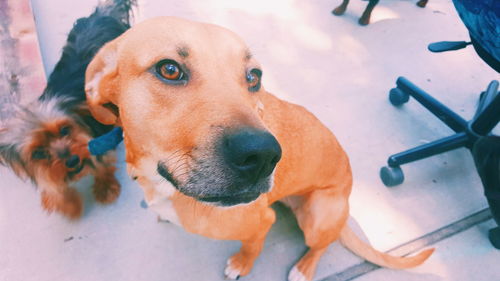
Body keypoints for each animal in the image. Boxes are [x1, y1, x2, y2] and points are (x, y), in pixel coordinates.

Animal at [85, 16, 434, 278]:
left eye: (253, 76)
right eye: (169, 69)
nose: (265, 156)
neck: (163, 183)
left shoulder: (262, 221)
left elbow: (253, 245)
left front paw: (242, 265)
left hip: (318, 215)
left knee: (323, 243)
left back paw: (305, 268)